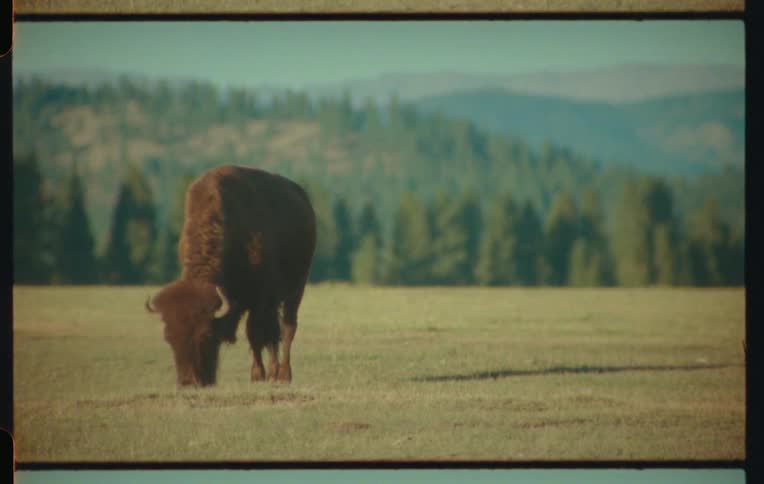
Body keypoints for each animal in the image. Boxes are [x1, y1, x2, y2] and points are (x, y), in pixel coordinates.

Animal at [146, 165, 316, 386]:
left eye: (206, 334)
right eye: (169, 337)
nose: (188, 381)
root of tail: (303, 197)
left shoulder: (260, 298)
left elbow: (256, 334)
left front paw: (257, 376)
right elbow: (261, 337)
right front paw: (260, 374)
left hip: (296, 289)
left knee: (287, 329)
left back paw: (282, 375)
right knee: (274, 335)